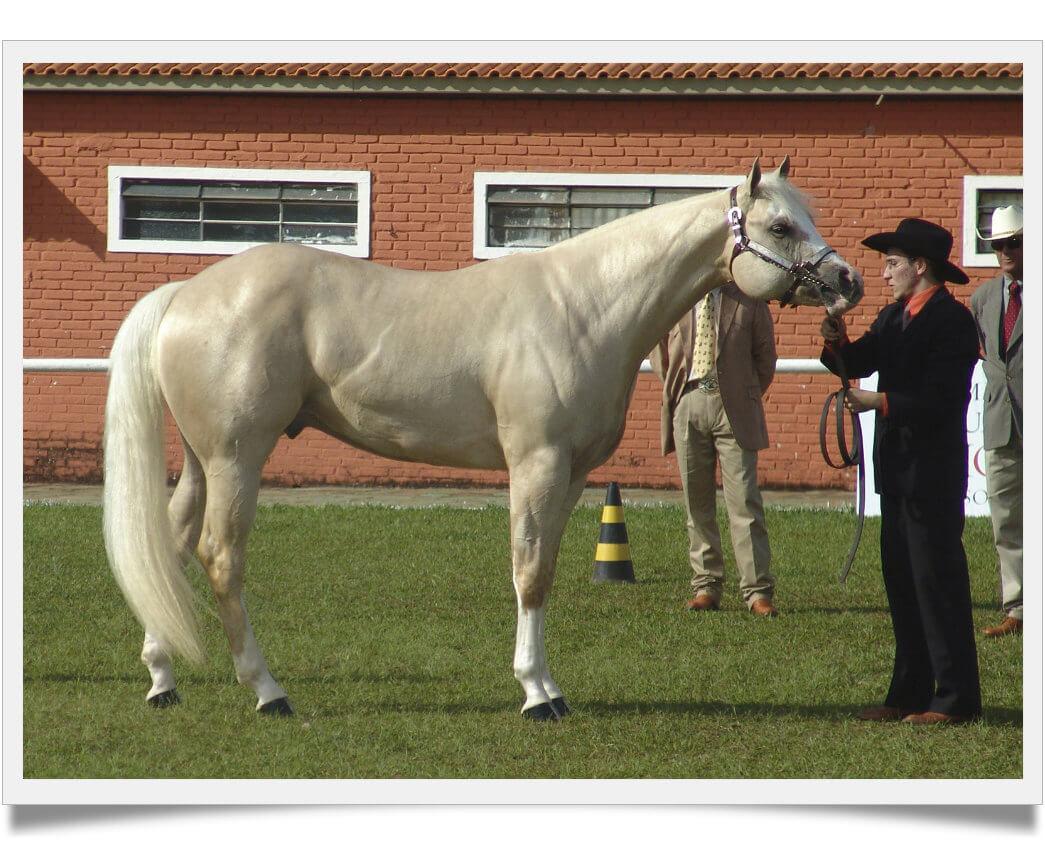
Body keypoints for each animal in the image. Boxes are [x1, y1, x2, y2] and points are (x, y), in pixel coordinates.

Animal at [102, 157, 862, 720]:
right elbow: (527, 572)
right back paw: (268, 692)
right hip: (237, 456)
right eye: (779, 223)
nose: (846, 281)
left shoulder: (574, 475)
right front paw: (535, 694)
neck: (583, 306)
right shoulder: (535, 464)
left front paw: (549, 686)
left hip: (202, 459)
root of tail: (186, 292)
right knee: (220, 557)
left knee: (172, 542)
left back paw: (162, 679)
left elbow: (545, 569)